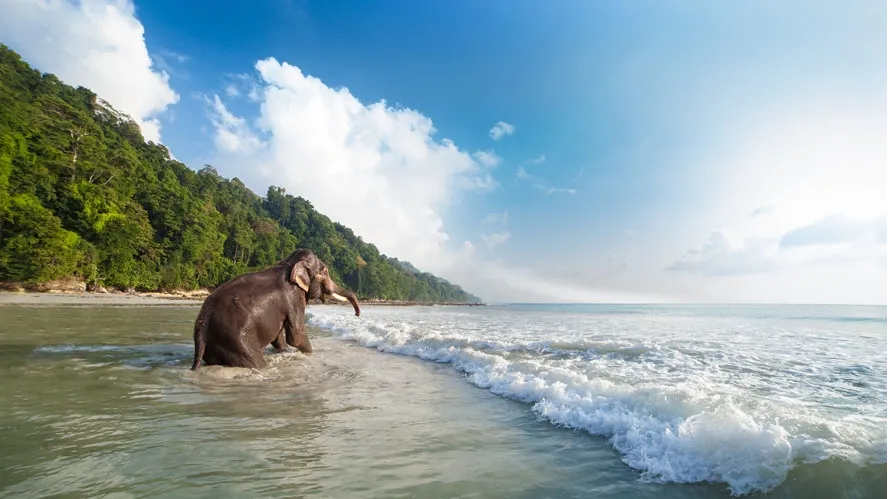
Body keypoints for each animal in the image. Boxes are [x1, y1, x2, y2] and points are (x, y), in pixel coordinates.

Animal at [190, 248, 360, 370]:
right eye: (325, 272)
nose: (357, 314)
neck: (290, 263)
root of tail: (203, 323)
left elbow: (279, 335)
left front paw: (285, 351)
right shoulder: (294, 297)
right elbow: (296, 336)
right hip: (237, 339)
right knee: (255, 362)